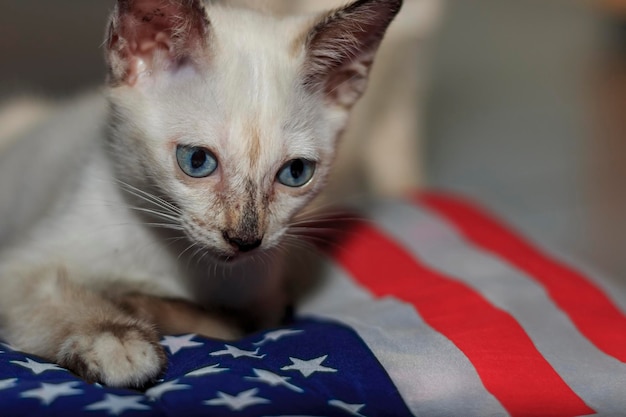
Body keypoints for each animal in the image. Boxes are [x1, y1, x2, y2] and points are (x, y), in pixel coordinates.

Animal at [0, 0, 400, 388]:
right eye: (196, 161)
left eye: (296, 172)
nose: (245, 240)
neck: (174, 257)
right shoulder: (19, 266)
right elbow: (55, 295)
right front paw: (114, 340)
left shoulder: (267, 306)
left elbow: (221, 323)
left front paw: (136, 304)